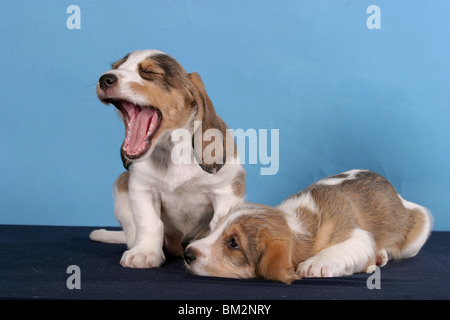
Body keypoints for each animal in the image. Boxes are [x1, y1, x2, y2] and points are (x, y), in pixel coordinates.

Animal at [89, 49, 246, 268]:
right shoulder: (142, 189)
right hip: (121, 185)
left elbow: (220, 225)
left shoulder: (225, 192)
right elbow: (150, 223)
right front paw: (144, 253)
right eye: (116, 67)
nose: (105, 79)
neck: (173, 151)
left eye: (149, 72)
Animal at [184, 169, 432, 284]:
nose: (187, 253)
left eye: (233, 243)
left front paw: (316, 264)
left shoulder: (356, 236)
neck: (293, 223)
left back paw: (380, 255)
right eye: (215, 229)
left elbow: (343, 248)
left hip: (420, 226)